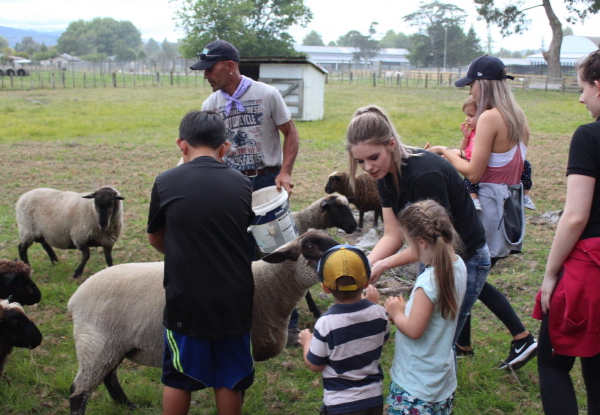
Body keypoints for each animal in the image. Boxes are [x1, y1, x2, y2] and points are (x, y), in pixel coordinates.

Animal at [68, 229, 340, 414]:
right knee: (79, 392)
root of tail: (75, 299)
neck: (269, 284)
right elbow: (238, 393)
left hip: (111, 345)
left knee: (108, 377)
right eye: (310, 246)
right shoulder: (241, 353)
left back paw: (129, 406)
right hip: (97, 342)